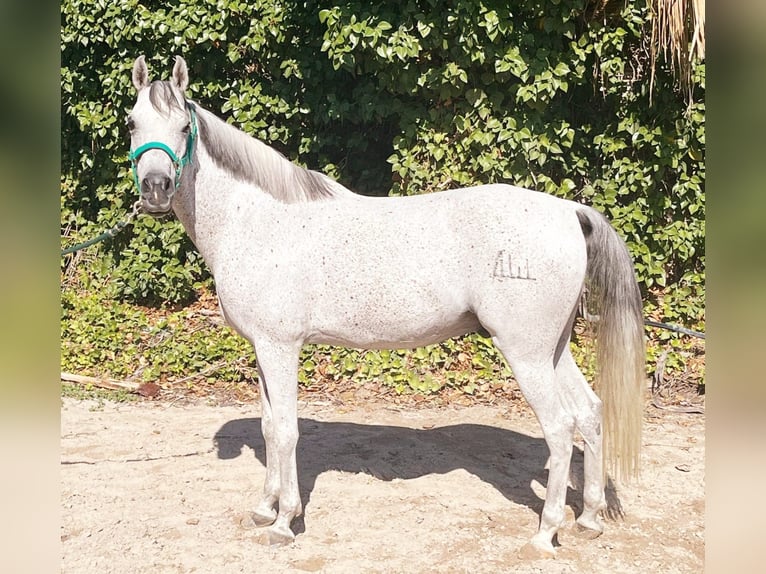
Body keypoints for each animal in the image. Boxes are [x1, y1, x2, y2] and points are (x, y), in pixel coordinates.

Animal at [129, 56, 644, 560]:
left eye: (183, 127)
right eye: (133, 123)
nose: (155, 188)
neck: (258, 219)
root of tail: (569, 211)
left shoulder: (280, 348)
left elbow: (288, 431)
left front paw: (284, 523)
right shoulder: (262, 349)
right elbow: (269, 426)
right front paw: (263, 508)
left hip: (526, 354)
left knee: (559, 428)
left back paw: (545, 532)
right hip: (553, 350)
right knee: (589, 413)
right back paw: (589, 518)